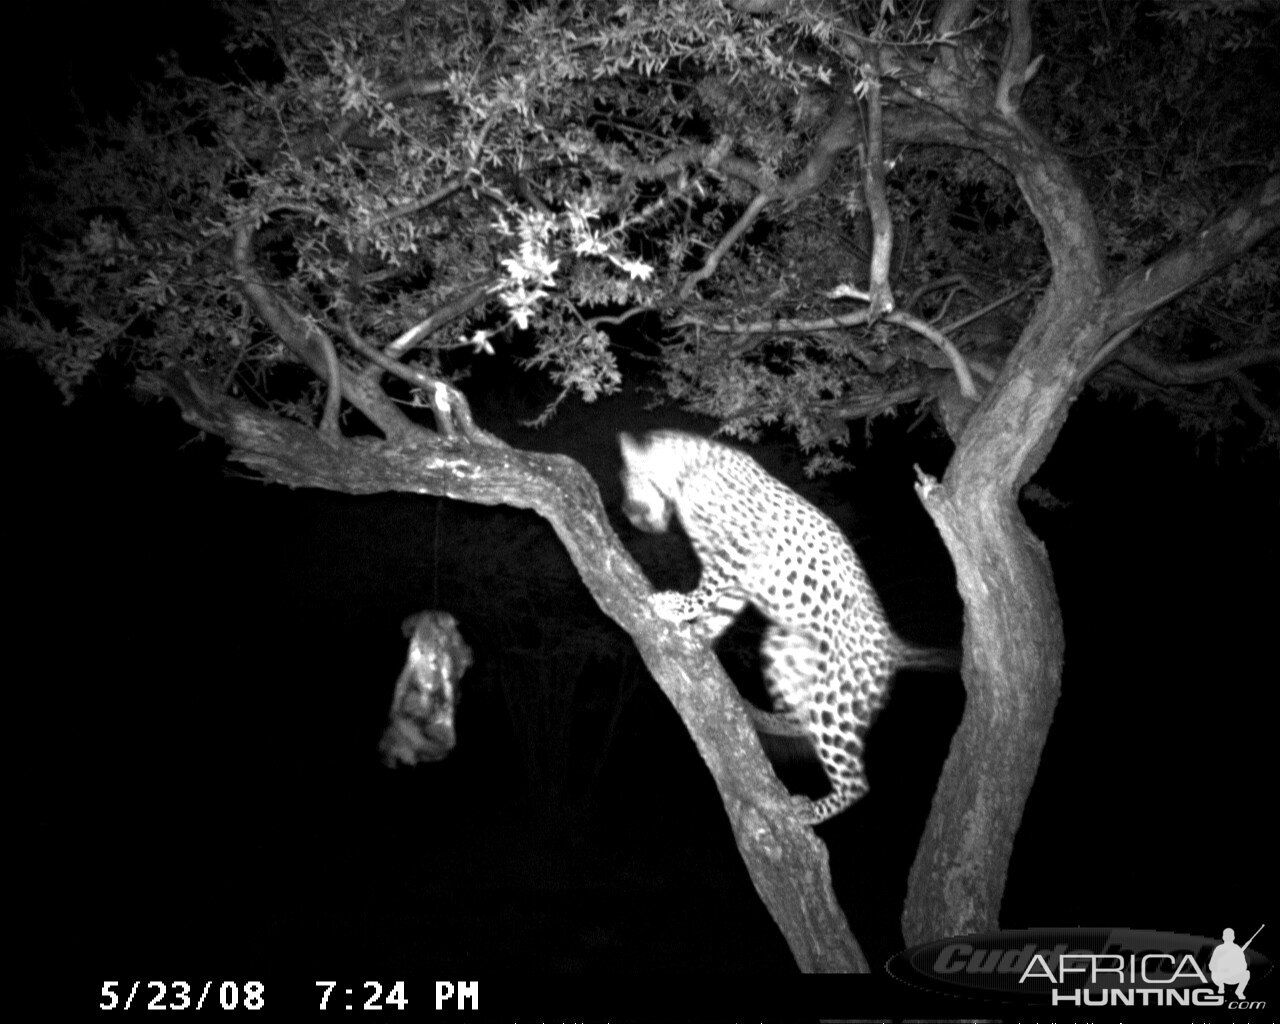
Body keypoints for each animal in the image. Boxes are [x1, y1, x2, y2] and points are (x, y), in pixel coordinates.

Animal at [619, 430, 952, 824]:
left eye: (627, 482)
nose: (627, 514)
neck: (688, 472)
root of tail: (892, 644)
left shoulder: (738, 549)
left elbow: (707, 590)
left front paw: (676, 606)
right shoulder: (738, 576)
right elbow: (719, 611)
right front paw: (697, 636)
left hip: (835, 697)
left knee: (854, 779)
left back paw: (809, 810)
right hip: (783, 647)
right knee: (800, 720)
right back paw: (761, 717)